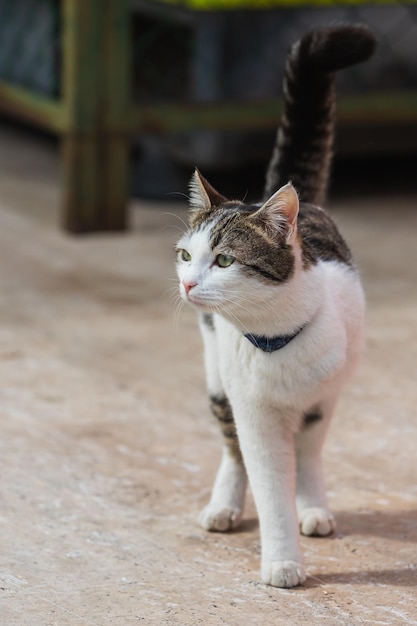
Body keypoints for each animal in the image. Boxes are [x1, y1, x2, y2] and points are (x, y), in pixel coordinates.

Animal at [174, 23, 376, 584]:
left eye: (223, 260)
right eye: (185, 255)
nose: (188, 285)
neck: (273, 337)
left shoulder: (324, 398)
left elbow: (306, 460)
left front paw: (307, 509)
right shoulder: (254, 411)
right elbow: (266, 482)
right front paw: (283, 560)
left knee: (308, 449)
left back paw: (314, 507)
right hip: (217, 378)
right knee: (231, 446)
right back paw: (224, 503)